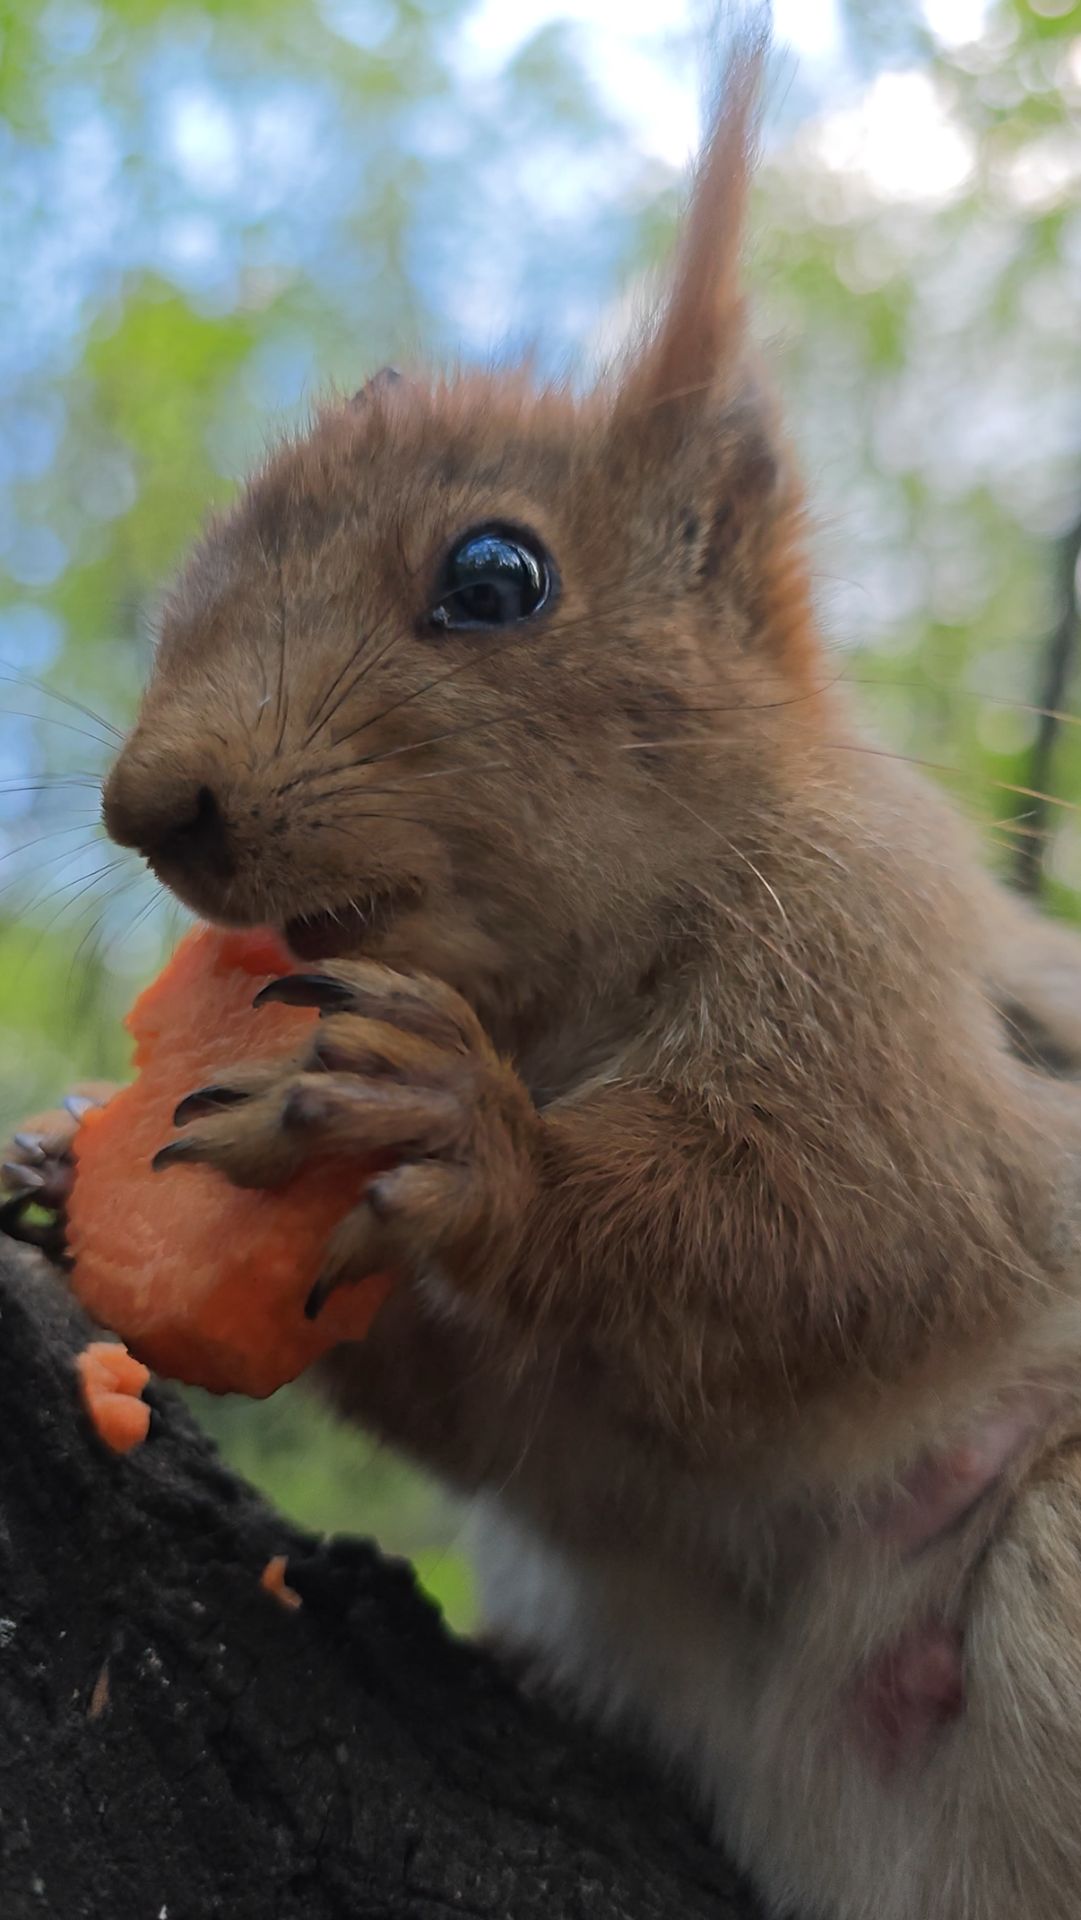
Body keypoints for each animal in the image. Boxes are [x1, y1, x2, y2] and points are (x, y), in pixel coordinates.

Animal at [9, 42, 1081, 1920]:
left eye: (496, 577)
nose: (152, 808)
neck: (557, 1003)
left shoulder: (881, 983)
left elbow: (850, 1228)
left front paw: (471, 1130)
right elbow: (508, 1413)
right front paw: (64, 1164)